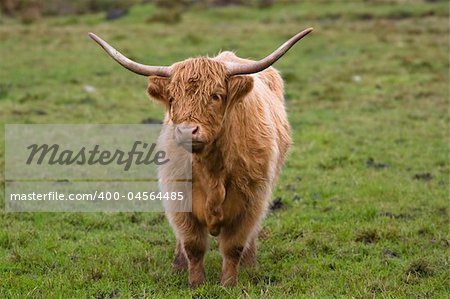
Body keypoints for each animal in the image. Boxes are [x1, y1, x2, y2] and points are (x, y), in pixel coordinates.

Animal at [88, 28, 312, 288]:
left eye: (216, 96)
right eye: (172, 99)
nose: (187, 131)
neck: (212, 168)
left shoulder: (251, 201)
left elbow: (234, 245)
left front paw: (228, 284)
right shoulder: (178, 198)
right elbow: (193, 244)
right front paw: (195, 283)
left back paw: (250, 264)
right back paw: (178, 265)